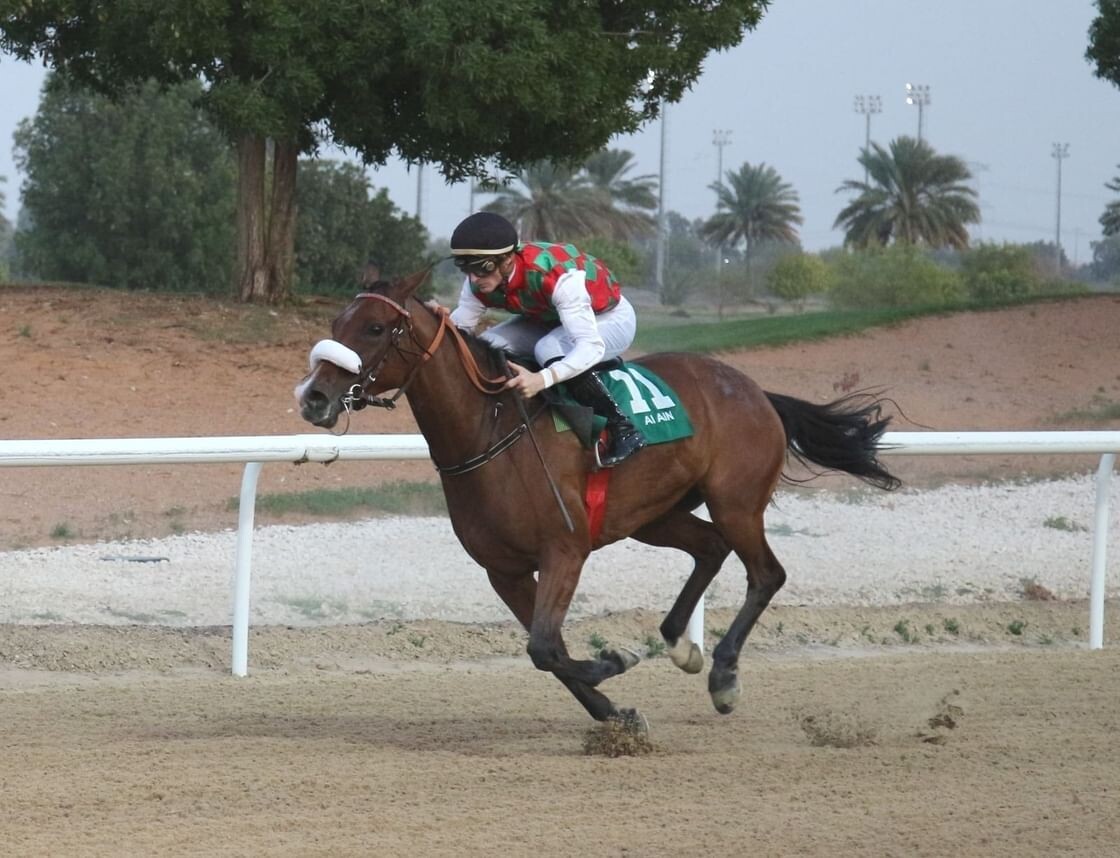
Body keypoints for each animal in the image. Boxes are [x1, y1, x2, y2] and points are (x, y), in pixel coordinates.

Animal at [295, 272, 900, 730]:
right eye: (335, 326)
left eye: (375, 327)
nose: (314, 397)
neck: (492, 431)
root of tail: (755, 391)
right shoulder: (504, 570)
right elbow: (550, 651)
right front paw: (615, 711)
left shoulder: (565, 548)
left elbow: (545, 648)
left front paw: (616, 660)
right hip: (654, 515)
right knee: (709, 548)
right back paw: (680, 644)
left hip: (736, 502)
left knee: (766, 573)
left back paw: (724, 676)